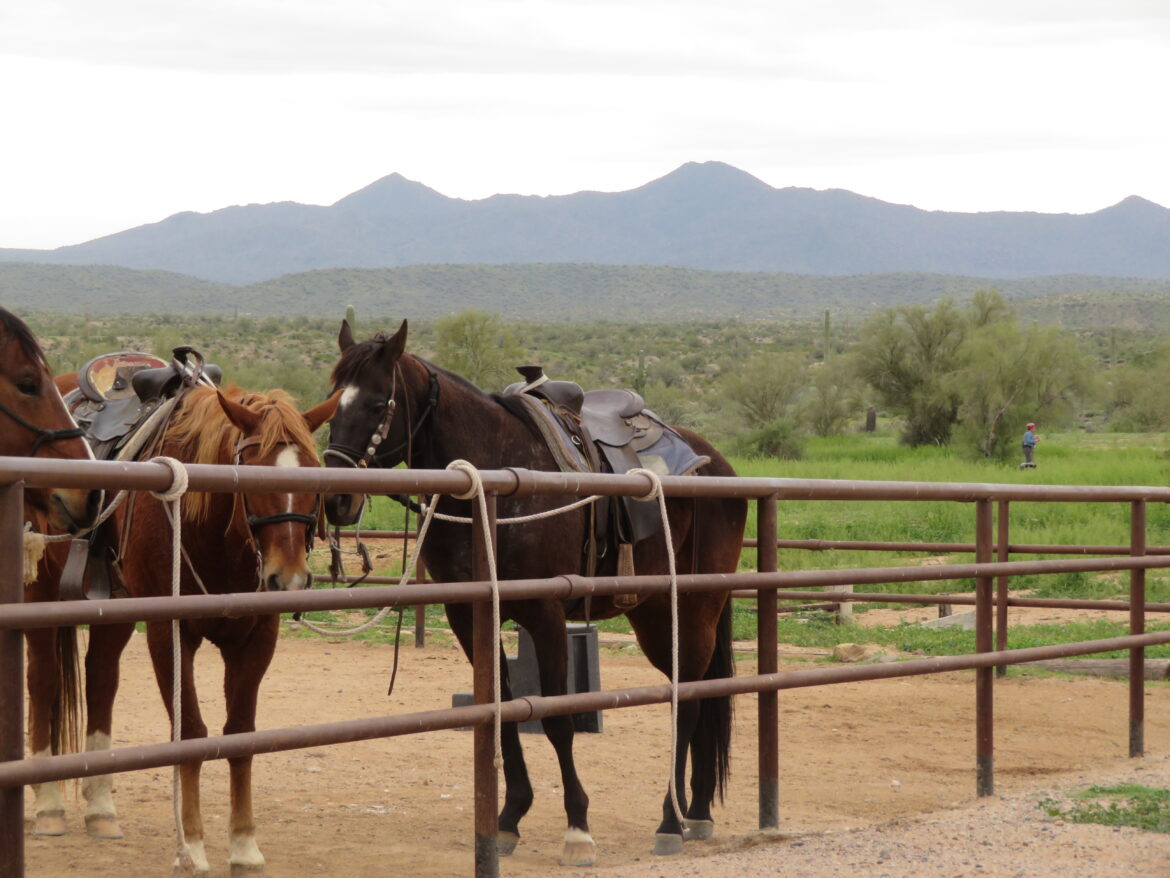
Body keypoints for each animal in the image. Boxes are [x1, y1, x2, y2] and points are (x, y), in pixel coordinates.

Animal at [26, 379, 339, 878]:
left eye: (314, 474)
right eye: (253, 473)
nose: (288, 578)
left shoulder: (256, 638)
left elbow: (241, 733)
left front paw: (244, 846)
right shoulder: (168, 633)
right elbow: (190, 733)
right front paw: (191, 847)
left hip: (115, 609)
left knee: (101, 680)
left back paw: (101, 809)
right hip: (39, 596)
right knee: (43, 681)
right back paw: (49, 806)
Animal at [320, 320, 744, 866]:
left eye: (378, 403)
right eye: (333, 400)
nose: (337, 499)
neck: (495, 479)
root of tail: (717, 465)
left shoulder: (546, 614)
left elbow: (557, 718)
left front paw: (578, 829)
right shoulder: (469, 614)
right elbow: (501, 709)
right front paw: (508, 819)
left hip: (694, 607)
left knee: (689, 699)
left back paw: (670, 820)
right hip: (654, 614)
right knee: (696, 692)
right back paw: (698, 811)